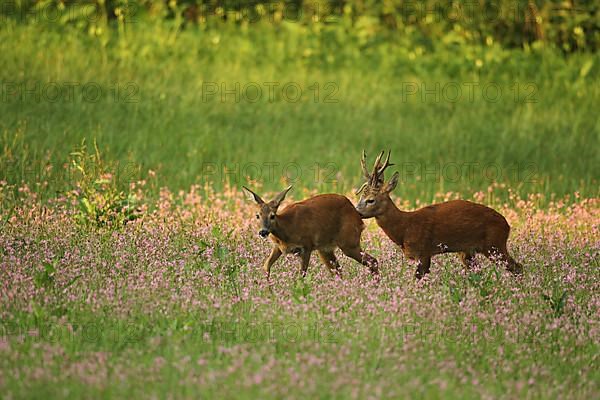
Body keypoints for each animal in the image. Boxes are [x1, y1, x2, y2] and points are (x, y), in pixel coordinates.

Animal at [243, 186, 376, 280]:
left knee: (372, 261)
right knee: (338, 271)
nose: (263, 232)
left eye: (272, 216)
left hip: (348, 241)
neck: (286, 230)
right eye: (257, 215)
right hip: (325, 249)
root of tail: (357, 214)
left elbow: (302, 274)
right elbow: (266, 266)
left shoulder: (306, 246)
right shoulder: (278, 247)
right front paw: (268, 291)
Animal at [356, 152, 520, 280]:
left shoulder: (423, 251)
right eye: (360, 196)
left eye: (371, 200)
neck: (405, 227)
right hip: (469, 252)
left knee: (517, 267)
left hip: (494, 245)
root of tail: (507, 225)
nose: (356, 211)